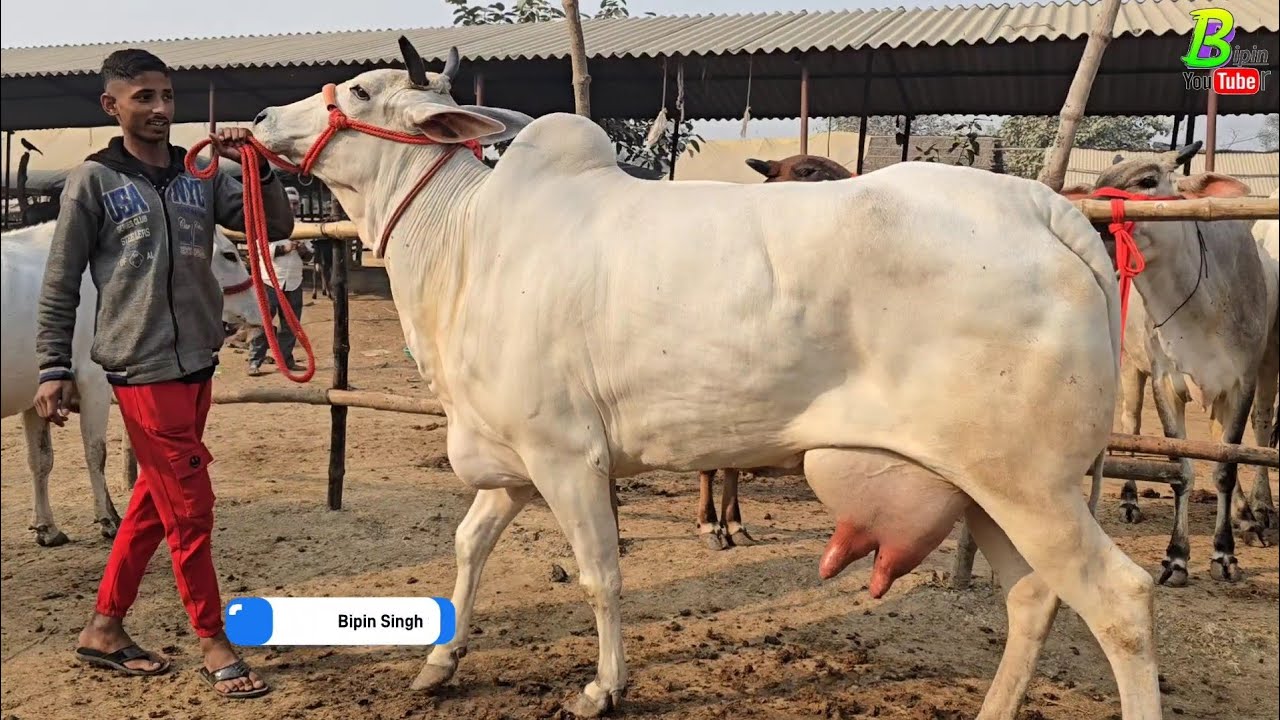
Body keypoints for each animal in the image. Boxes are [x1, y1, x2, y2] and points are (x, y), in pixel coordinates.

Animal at [2, 222, 263, 546]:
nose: (259, 309)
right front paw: (109, 519)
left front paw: (47, 528)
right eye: (230, 254)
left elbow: (40, 460)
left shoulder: (38, 395)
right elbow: (95, 453)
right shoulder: (94, 380)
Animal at [248, 40, 1162, 719]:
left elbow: (600, 572)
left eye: (359, 90)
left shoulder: (565, 455)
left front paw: (604, 688)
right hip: (985, 488)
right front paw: (439, 663)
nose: (257, 119)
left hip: (1029, 485)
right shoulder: (514, 460)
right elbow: (470, 544)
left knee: (1121, 602)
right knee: (1034, 600)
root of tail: (1045, 210)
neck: (462, 242)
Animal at [1061, 146, 1279, 587]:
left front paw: (1224, 552)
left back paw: (1250, 515)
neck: (1201, 307)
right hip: (1129, 365)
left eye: (1148, 180)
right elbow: (1181, 467)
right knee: (1129, 422)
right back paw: (1130, 499)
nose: (1086, 222)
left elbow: (1226, 465)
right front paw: (1177, 557)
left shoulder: (1242, 382)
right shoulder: (1166, 381)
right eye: (1096, 185)